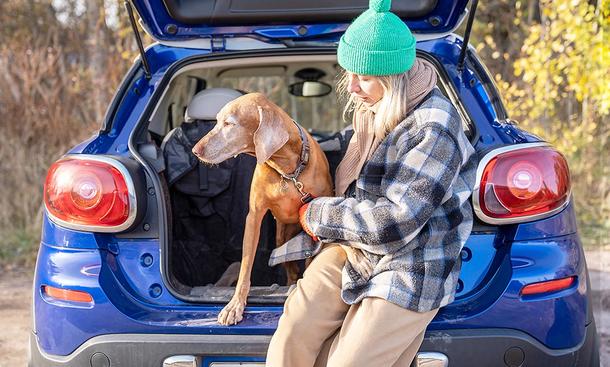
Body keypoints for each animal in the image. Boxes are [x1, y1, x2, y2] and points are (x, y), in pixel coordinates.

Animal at [191, 92, 330, 324]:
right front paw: (235, 305)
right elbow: (246, 264)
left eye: (229, 123)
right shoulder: (254, 216)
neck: (287, 171)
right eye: (216, 121)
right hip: (281, 237)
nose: (195, 150)